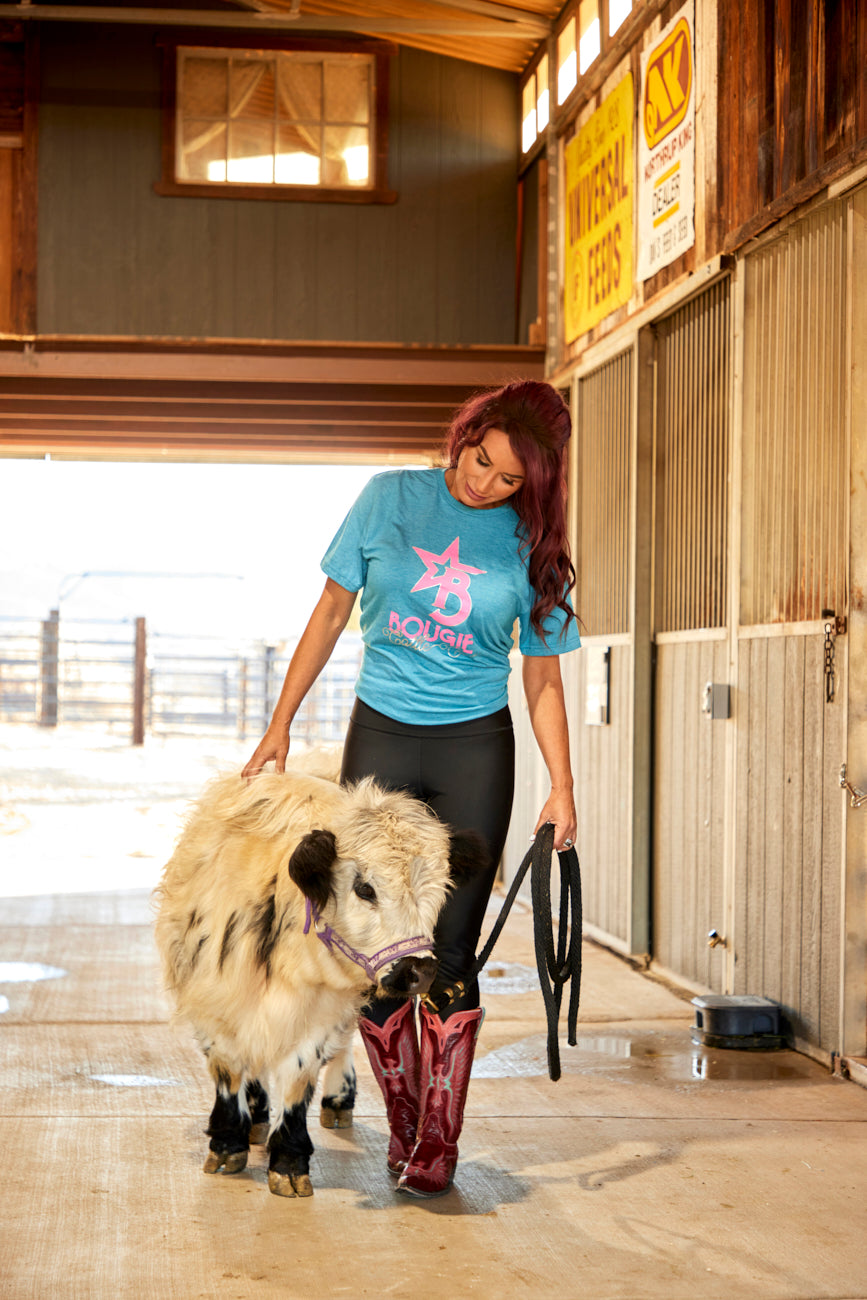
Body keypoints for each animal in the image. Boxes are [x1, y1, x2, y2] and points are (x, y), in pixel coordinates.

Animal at [154, 759, 475, 1196]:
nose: (419, 972)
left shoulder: (319, 1012)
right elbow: (230, 1069)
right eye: (364, 888)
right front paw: (227, 1141)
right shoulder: (214, 1002)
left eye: (440, 890)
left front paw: (289, 1160)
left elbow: (298, 1076)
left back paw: (338, 1099)